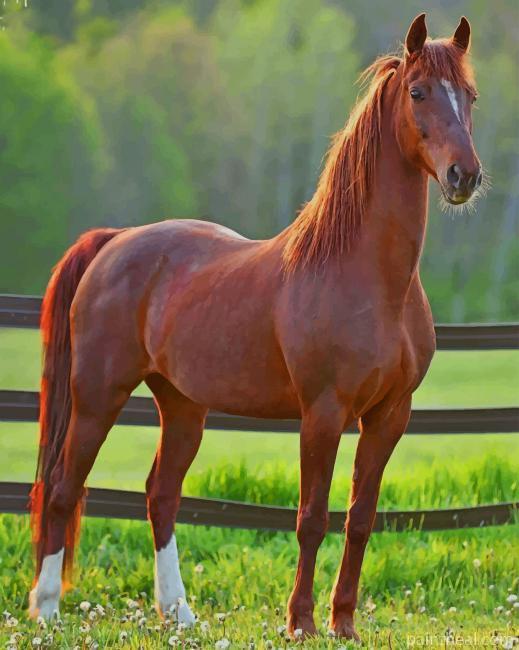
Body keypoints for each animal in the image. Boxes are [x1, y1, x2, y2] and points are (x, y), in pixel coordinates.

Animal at [28, 13, 483, 642]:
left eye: (469, 96)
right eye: (418, 93)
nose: (465, 176)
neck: (366, 276)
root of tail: (116, 240)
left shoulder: (390, 416)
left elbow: (361, 519)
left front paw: (344, 625)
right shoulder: (322, 414)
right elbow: (312, 518)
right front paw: (301, 623)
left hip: (182, 406)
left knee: (160, 495)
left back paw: (178, 613)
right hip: (97, 395)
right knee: (64, 488)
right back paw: (47, 608)